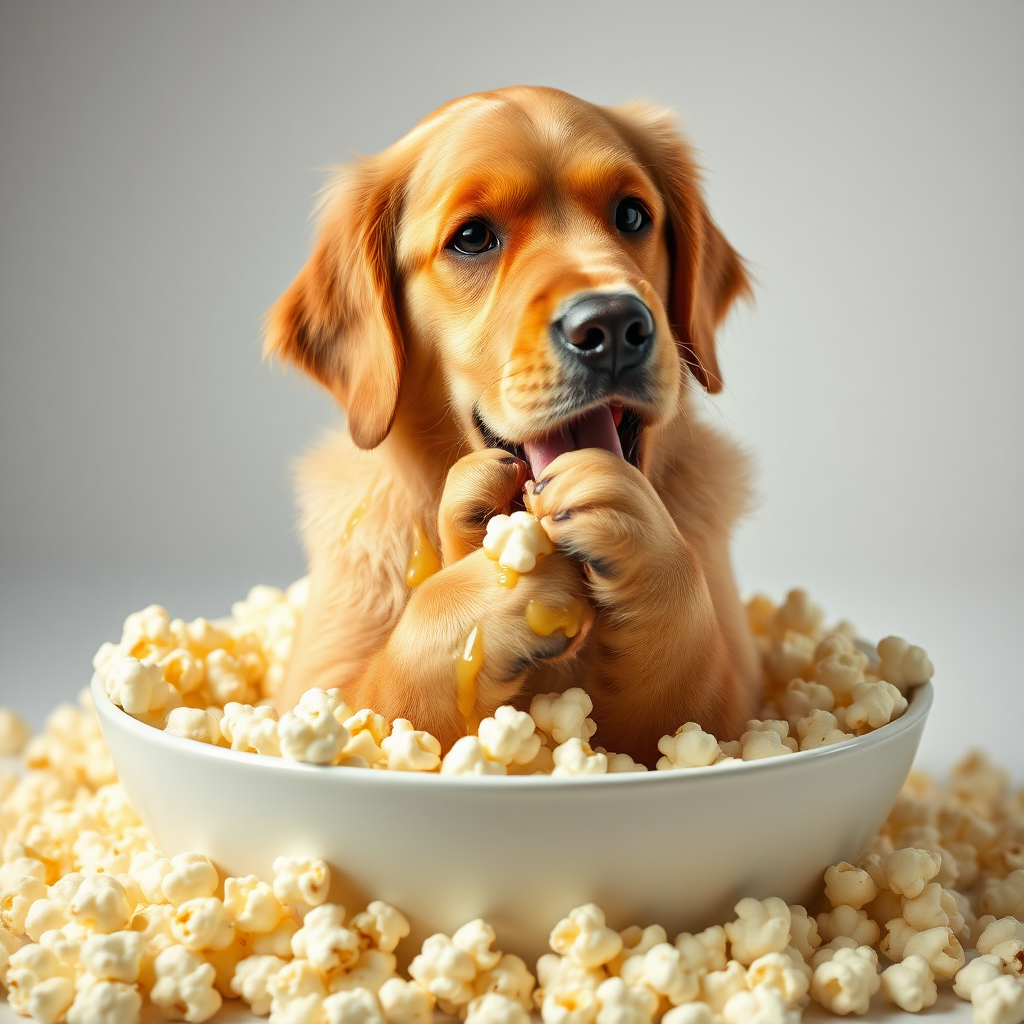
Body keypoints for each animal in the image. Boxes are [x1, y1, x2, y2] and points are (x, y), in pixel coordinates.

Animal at [268, 86, 765, 761]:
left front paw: (649, 548)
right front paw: (480, 593)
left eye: (632, 215)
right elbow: (381, 700)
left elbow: (689, 699)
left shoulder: (734, 710)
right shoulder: (308, 694)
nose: (612, 324)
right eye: (473, 237)